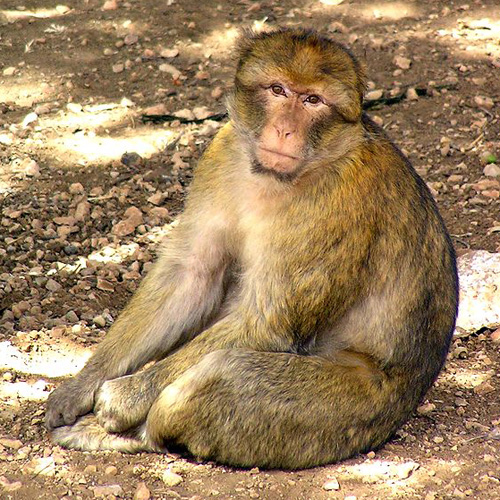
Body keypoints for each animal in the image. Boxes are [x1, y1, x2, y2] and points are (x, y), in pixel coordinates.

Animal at [45, 29, 458, 470]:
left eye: (313, 100)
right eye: (278, 90)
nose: (284, 130)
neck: (283, 178)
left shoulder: (340, 205)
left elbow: (265, 323)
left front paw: (125, 396)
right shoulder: (222, 152)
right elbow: (192, 275)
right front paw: (82, 384)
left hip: (353, 411)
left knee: (221, 375)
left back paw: (138, 436)